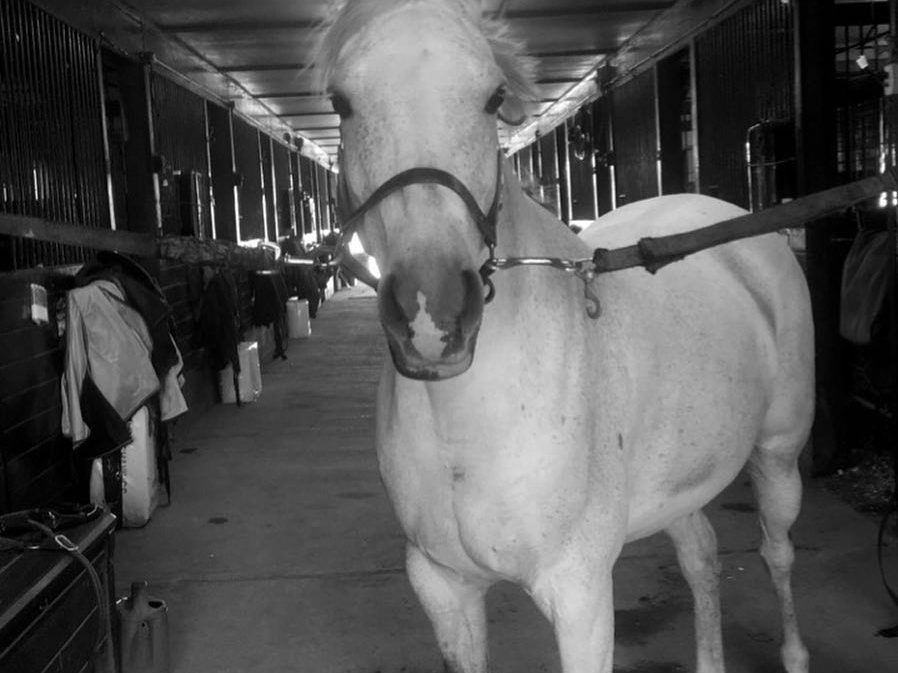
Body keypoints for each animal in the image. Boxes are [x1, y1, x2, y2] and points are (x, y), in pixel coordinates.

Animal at [316, 2, 814, 672]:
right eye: (341, 101)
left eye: (493, 97)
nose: (431, 316)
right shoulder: (444, 586)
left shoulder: (579, 594)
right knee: (701, 555)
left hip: (778, 454)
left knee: (777, 552)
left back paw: (795, 652)